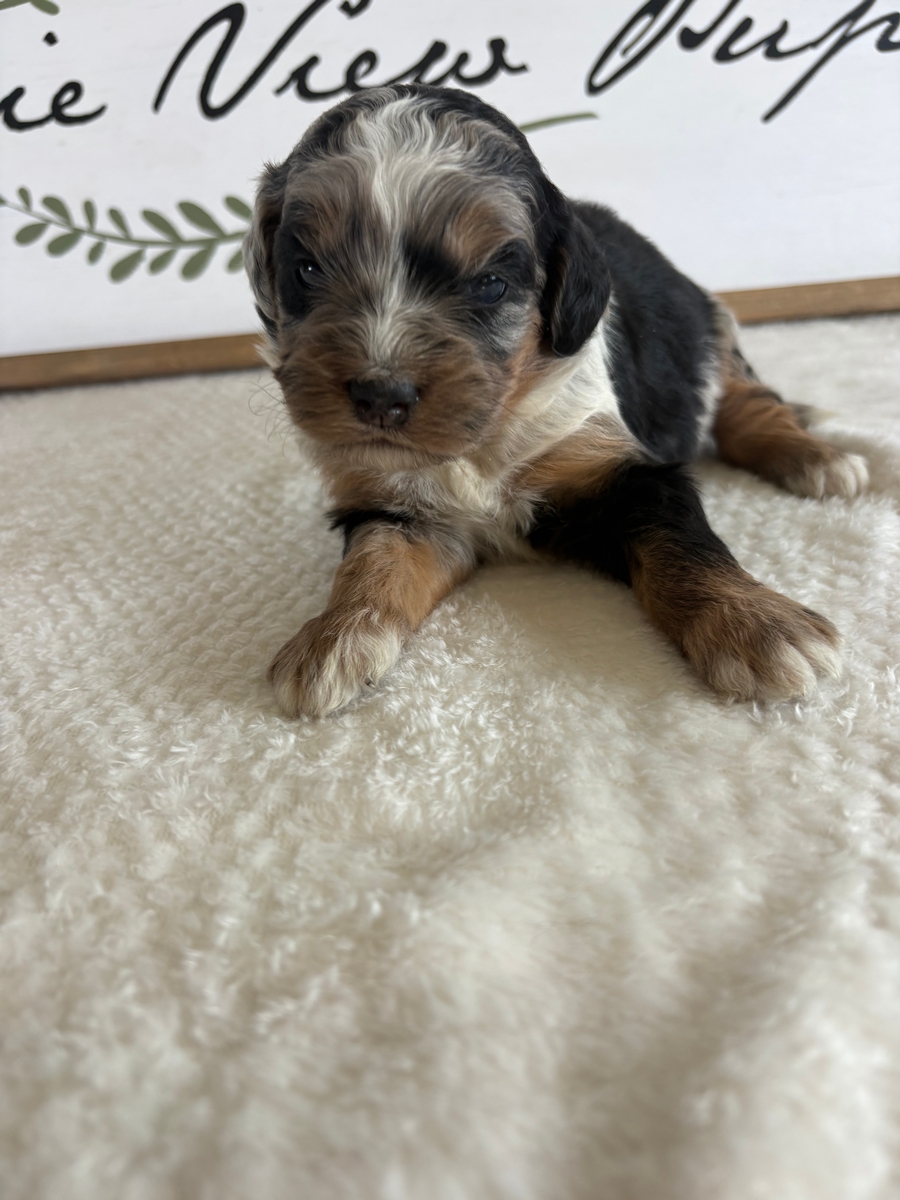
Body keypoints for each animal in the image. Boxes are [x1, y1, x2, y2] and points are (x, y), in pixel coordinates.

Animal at [244, 83, 867, 718]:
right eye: (307, 270)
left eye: (490, 285)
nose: (379, 395)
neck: (482, 442)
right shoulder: (396, 507)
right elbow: (372, 563)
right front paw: (333, 639)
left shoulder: (622, 466)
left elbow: (683, 545)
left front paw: (759, 627)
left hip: (710, 331)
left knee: (747, 407)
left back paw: (819, 460)